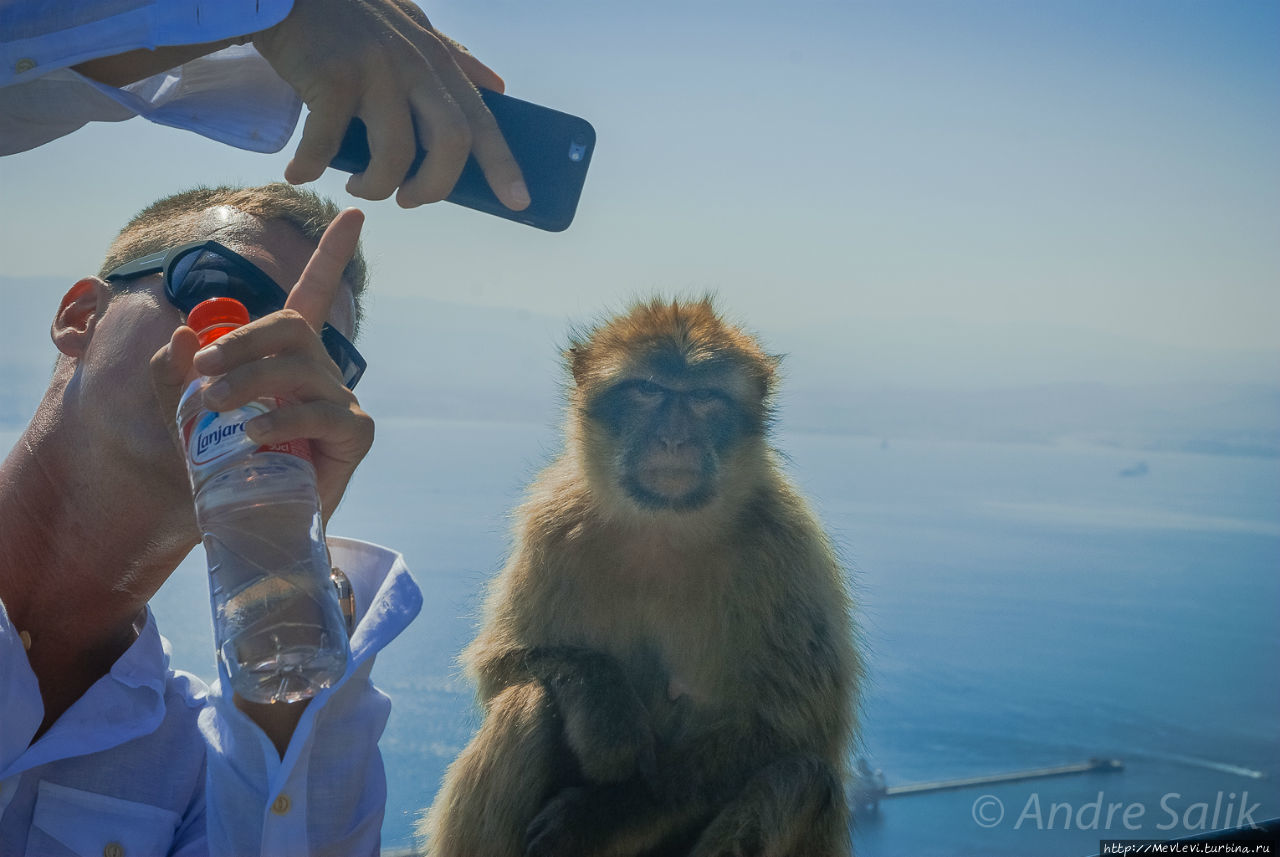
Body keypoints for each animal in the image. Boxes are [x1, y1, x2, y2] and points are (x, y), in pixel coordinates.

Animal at [419, 296, 860, 857]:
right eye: (648, 391)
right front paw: (605, 707)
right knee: (530, 699)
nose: (674, 439)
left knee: (800, 778)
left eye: (705, 398)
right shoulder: (552, 524)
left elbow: (789, 733)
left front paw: (600, 815)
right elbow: (502, 664)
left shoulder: (787, 552)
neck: (663, 529)